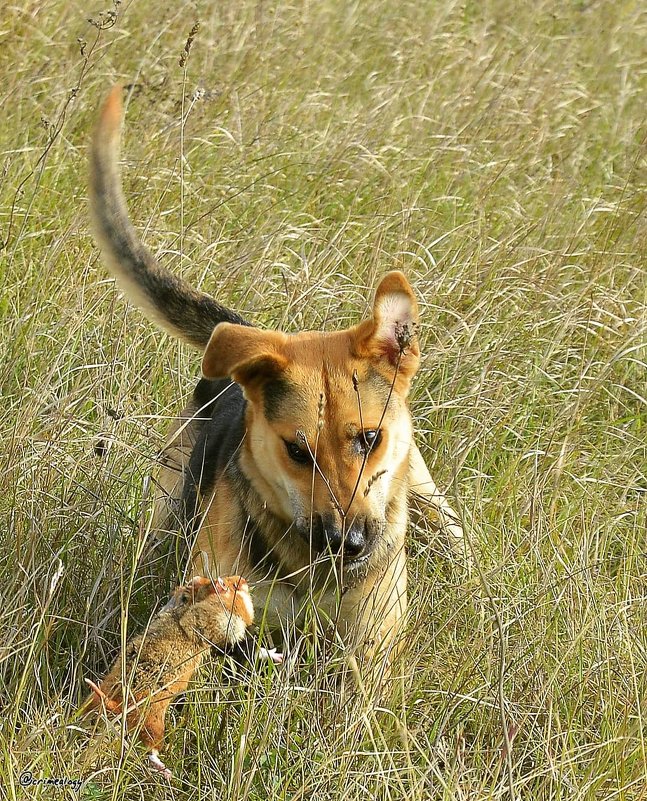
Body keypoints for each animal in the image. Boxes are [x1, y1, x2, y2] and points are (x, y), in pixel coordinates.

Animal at [90, 83, 466, 668]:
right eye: (296, 450)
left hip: (430, 498)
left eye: (370, 439)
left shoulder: (370, 650)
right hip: (169, 495)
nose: (347, 545)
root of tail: (250, 332)